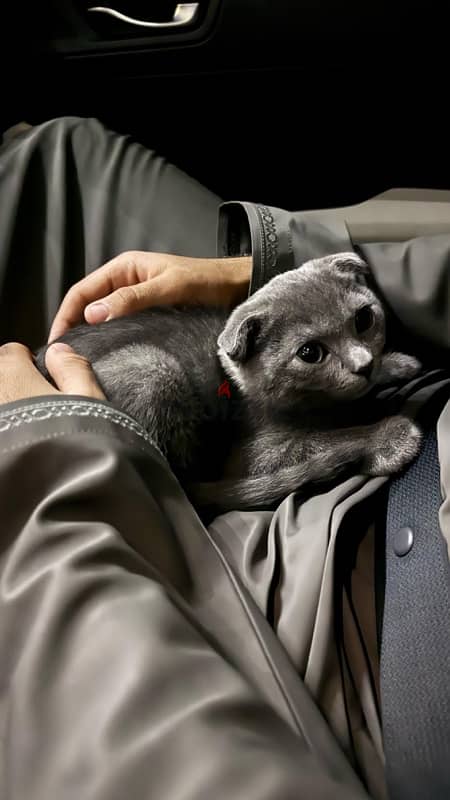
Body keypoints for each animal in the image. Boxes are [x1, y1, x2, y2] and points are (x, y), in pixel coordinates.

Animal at [35, 253, 422, 510]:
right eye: (310, 353)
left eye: (363, 319)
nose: (364, 365)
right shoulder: (257, 452)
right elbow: (327, 438)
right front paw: (388, 438)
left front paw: (396, 364)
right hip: (152, 367)